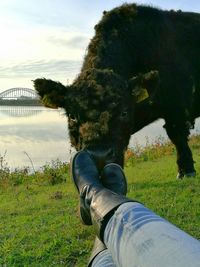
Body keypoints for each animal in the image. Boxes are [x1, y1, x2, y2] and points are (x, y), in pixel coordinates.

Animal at [34, 3, 200, 178]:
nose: (99, 156)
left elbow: (178, 136)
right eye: (72, 116)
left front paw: (186, 171)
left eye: (124, 113)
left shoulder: (177, 105)